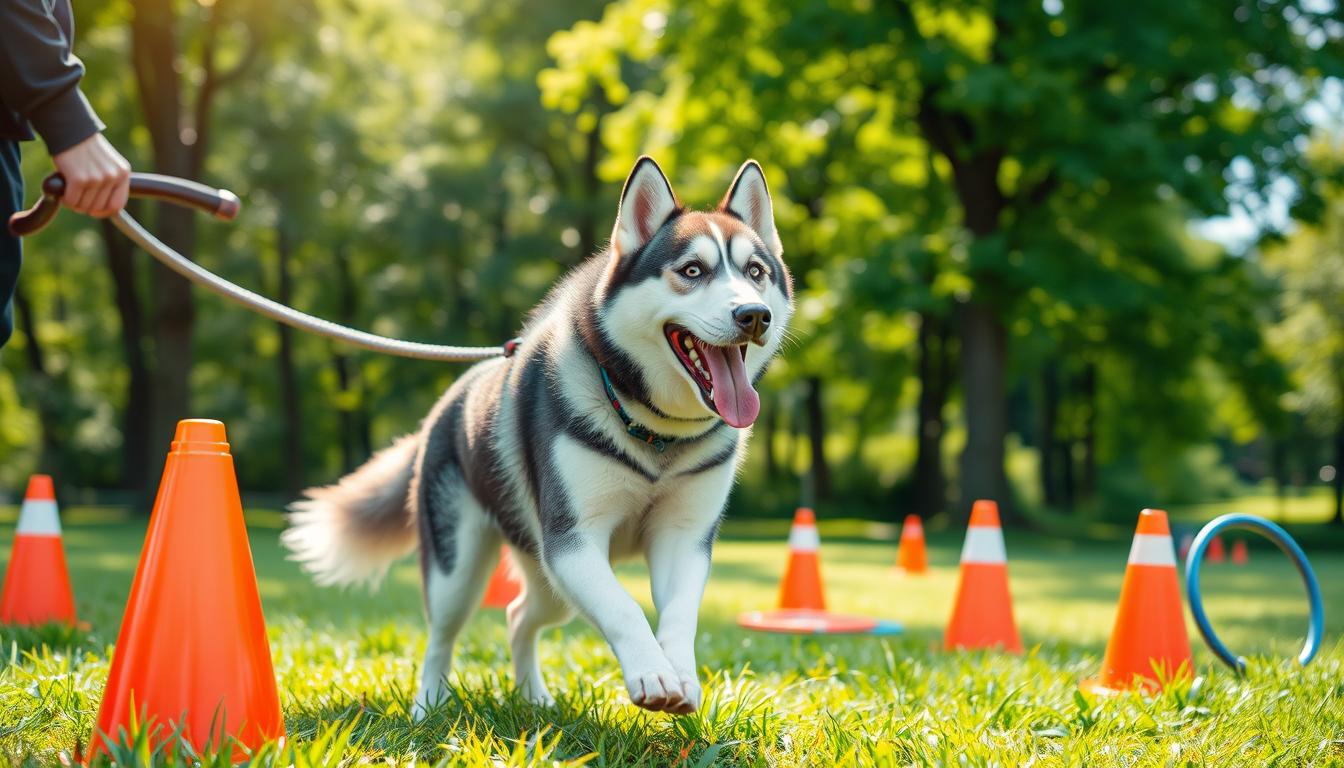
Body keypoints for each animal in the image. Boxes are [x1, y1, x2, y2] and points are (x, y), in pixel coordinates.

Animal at [279, 156, 790, 715]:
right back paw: (429, 704)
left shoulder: (683, 537)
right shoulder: (571, 541)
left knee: (519, 615)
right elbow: (625, 607)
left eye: (756, 272)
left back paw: (533, 695)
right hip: (461, 567)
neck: (655, 433)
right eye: (692, 271)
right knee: (442, 634)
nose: (753, 314)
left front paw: (680, 673)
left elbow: (679, 614)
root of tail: (450, 398)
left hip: (547, 577)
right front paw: (651, 672)